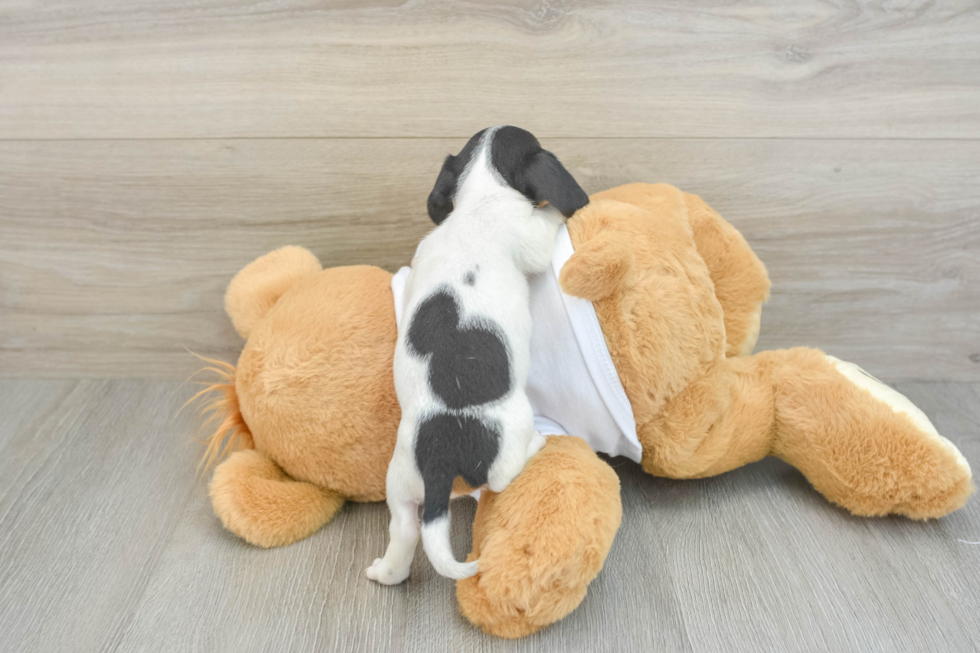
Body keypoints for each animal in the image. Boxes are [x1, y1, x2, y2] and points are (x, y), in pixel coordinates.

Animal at [364, 126, 584, 580]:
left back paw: (386, 571)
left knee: (404, 530)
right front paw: (557, 213)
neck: (480, 200)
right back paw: (536, 446)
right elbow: (547, 224)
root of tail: (440, 463)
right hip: (515, 423)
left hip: (400, 483)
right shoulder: (531, 237)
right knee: (500, 479)